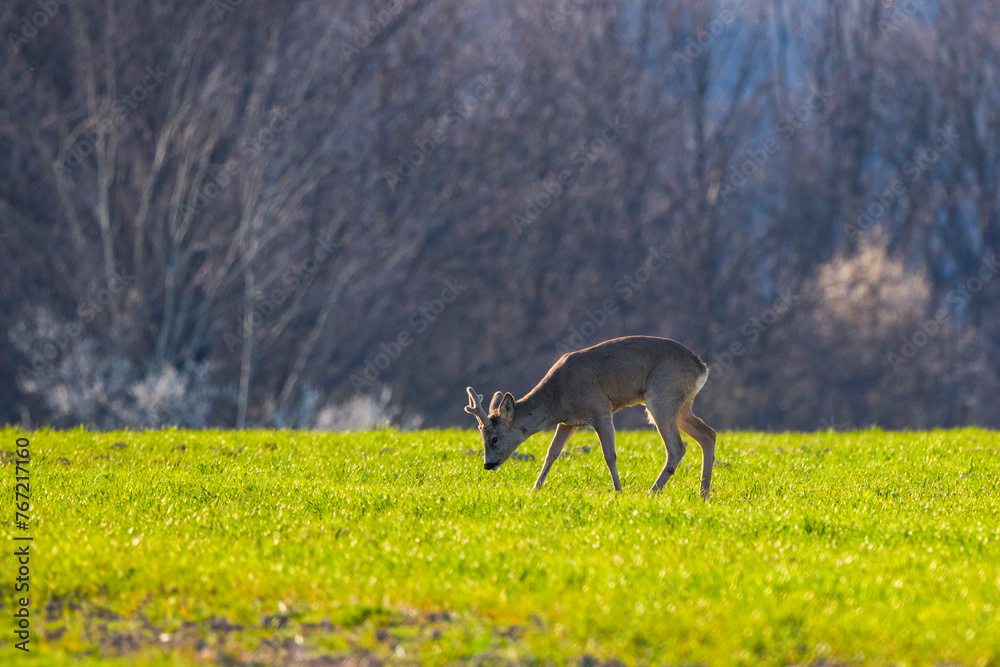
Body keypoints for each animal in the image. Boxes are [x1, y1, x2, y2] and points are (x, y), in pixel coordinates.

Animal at [464, 335, 716, 499]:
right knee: (708, 435)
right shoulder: (568, 422)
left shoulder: (601, 410)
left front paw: (618, 491)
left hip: (661, 397)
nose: (487, 464)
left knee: (677, 448)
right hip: (681, 406)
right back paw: (703, 494)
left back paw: (652, 492)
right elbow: (551, 453)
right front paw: (535, 488)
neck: (559, 396)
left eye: (494, 438)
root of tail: (702, 367)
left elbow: (609, 455)